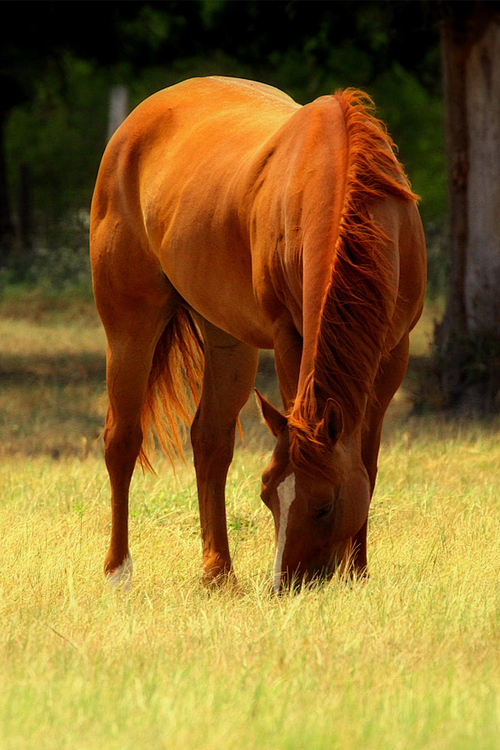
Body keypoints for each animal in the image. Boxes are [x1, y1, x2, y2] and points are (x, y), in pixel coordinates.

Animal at [90, 76, 426, 592]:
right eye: (268, 496)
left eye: (324, 504)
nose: (285, 583)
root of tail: (132, 126)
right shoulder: (291, 337)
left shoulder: (394, 351)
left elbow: (366, 463)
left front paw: (358, 571)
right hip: (130, 326)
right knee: (121, 440)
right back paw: (119, 573)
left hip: (228, 338)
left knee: (210, 440)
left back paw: (218, 574)